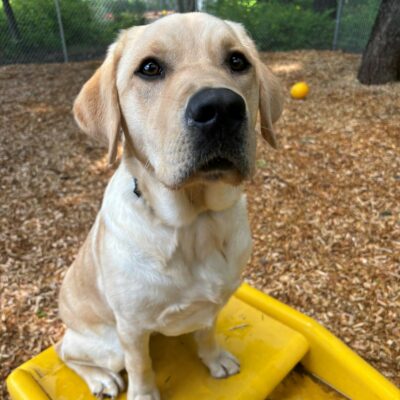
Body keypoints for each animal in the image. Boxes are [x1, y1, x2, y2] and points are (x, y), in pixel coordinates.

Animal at [56, 11, 282, 400]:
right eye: (149, 68)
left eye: (238, 61)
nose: (221, 107)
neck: (195, 221)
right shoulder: (131, 328)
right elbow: (141, 366)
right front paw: (144, 394)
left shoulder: (213, 304)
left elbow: (206, 333)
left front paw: (215, 360)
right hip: (108, 344)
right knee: (66, 351)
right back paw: (101, 379)